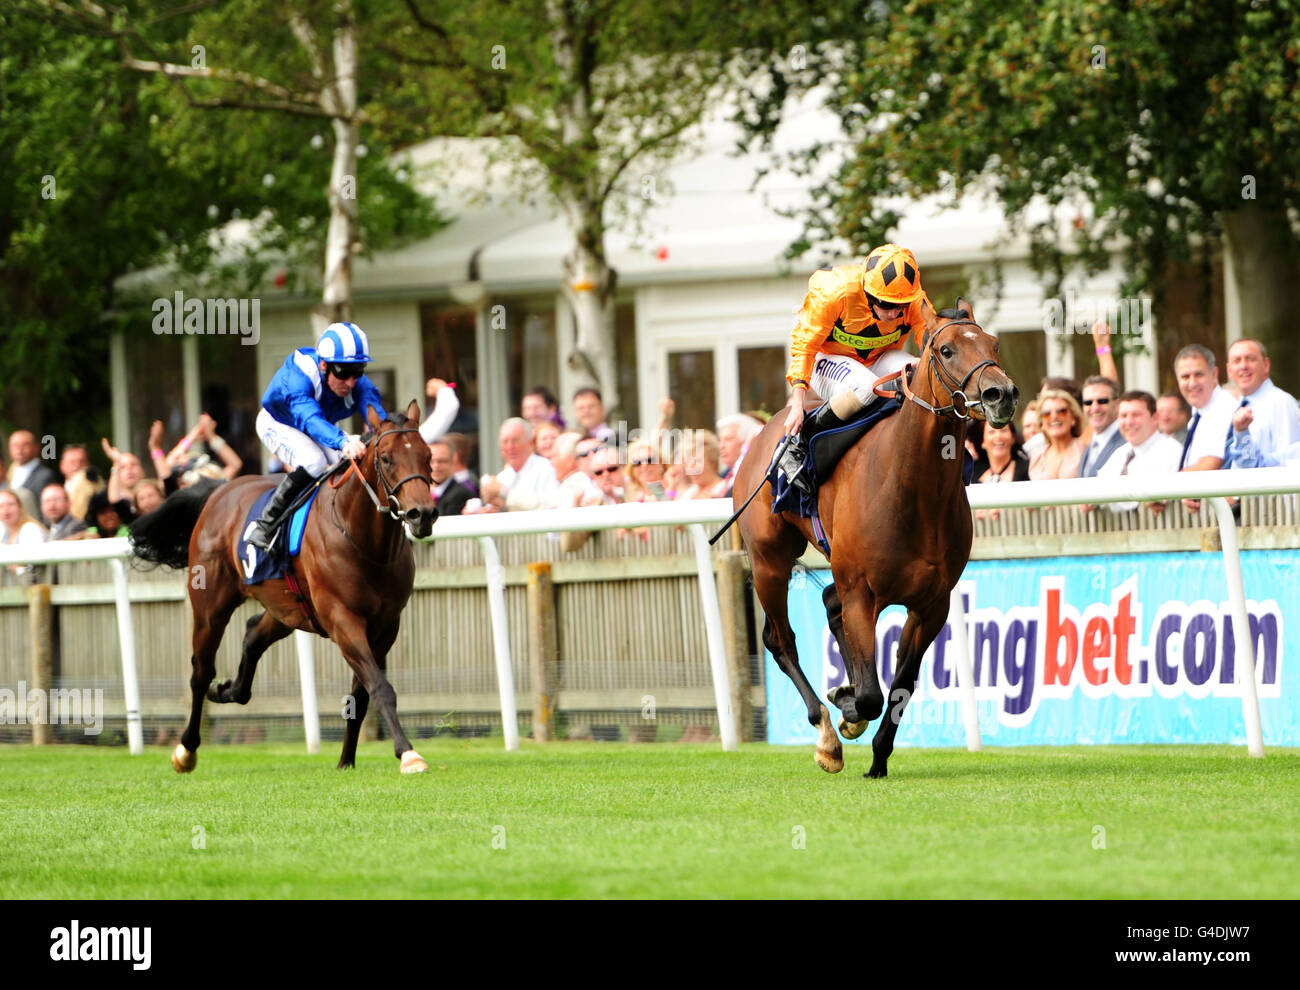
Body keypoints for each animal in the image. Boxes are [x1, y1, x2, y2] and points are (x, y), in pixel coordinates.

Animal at [129, 400, 439, 769]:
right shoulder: (343, 620)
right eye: (387, 458)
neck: (364, 542)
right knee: (200, 670)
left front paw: (345, 762)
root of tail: (218, 490)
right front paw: (408, 753)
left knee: (252, 635)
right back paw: (186, 749)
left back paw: (228, 690)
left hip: (286, 609)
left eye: (428, 455)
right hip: (210, 605)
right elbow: (380, 687)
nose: (423, 514)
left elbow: (360, 697)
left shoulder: (385, 626)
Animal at [738, 297, 1019, 774]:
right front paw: (849, 709)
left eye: (994, 344)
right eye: (945, 350)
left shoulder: (932, 604)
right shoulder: (862, 592)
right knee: (781, 639)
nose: (1001, 394)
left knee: (828, 603)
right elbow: (871, 694)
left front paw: (878, 757)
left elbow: (902, 684)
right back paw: (826, 735)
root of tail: (760, 437)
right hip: (769, 561)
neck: (911, 489)